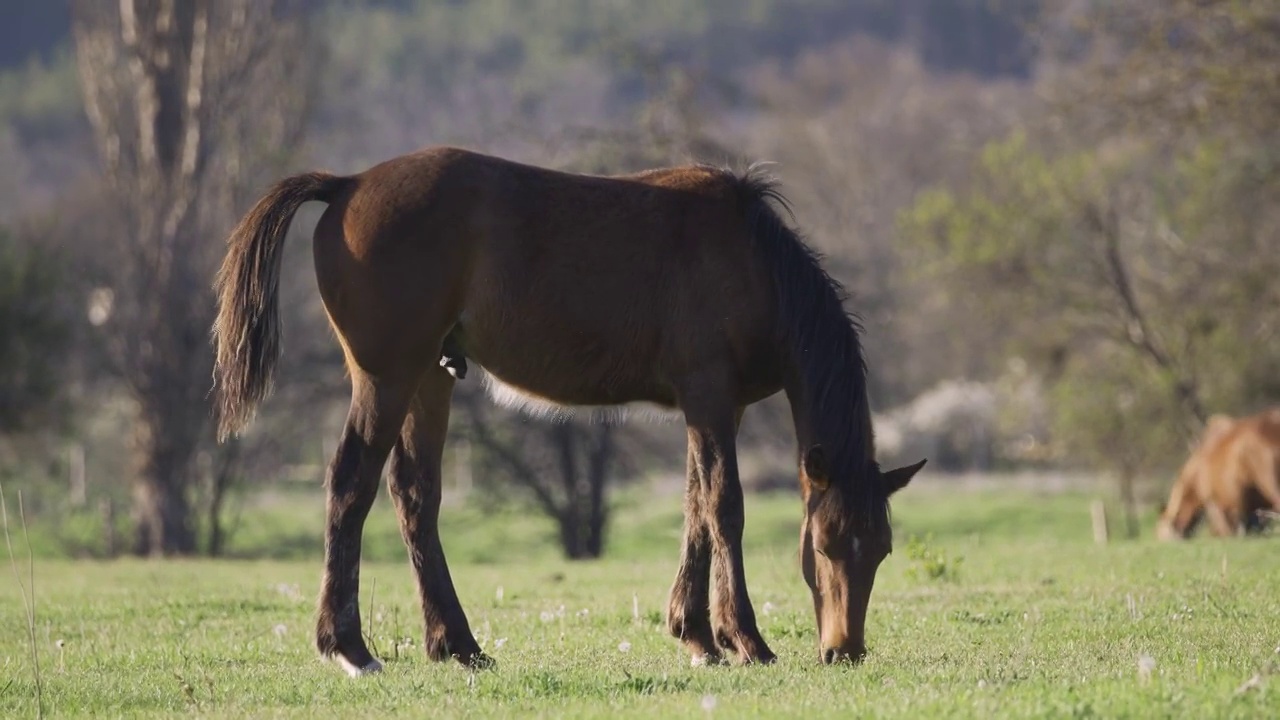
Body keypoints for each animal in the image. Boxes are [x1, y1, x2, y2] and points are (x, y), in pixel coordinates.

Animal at [215, 144, 926, 671]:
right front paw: (744, 639)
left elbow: (695, 506)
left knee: (415, 495)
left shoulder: (715, 408)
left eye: (883, 549)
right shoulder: (709, 396)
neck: (752, 262)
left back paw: (458, 645)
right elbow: (724, 506)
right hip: (386, 377)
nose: (844, 650)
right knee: (349, 486)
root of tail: (349, 184)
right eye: (824, 544)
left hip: (428, 380)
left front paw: (696, 635)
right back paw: (351, 648)